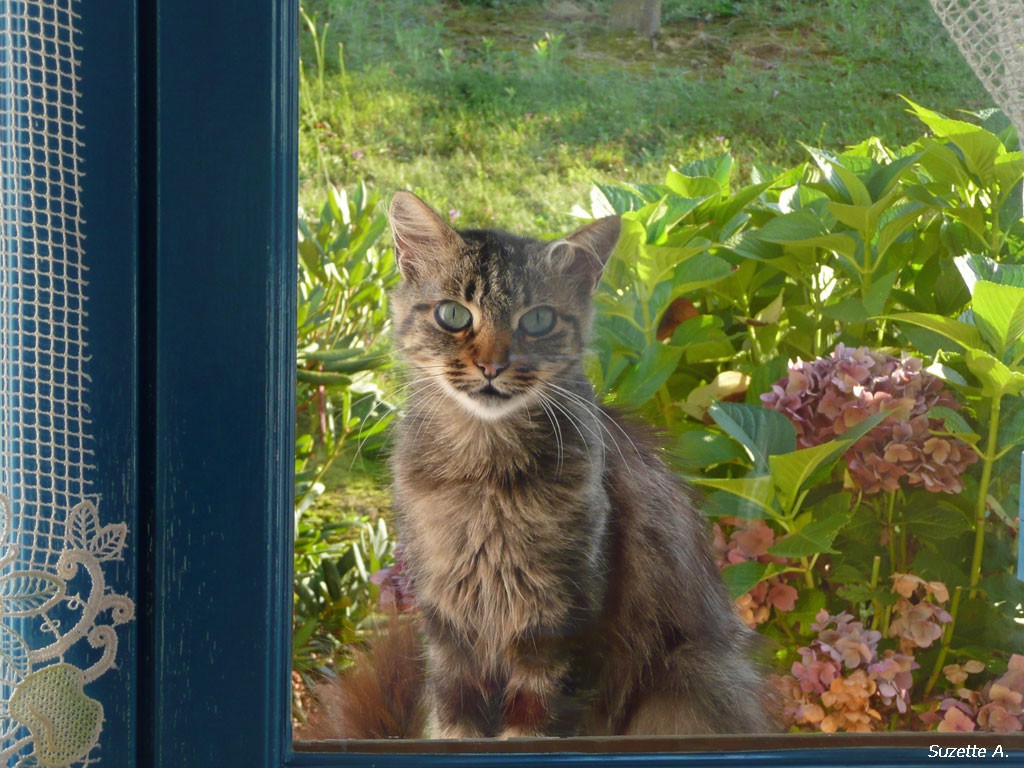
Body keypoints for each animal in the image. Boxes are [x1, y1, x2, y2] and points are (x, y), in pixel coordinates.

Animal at [303, 192, 770, 741]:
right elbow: (455, 723)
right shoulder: (447, 626)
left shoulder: (560, 624)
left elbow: (531, 723)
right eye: (453, 315)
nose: (492, 365)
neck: (483, 475)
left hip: (690, 676)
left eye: (539, 321)